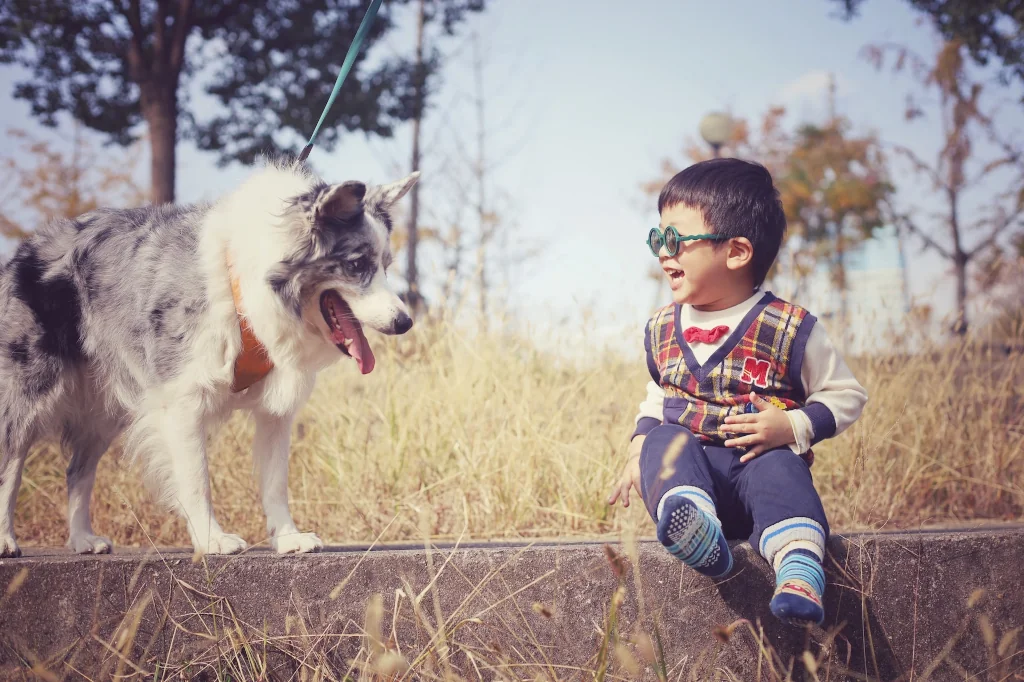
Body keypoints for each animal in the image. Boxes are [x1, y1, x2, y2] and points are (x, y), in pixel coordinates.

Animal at [0, 160, 417, 557]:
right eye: (357, 265)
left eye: (386, 265)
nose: (406, 322)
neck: (249, 289)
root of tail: (26, 247)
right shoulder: (181, 401)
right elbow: (197, 479)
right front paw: (212, 539)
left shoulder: (275, 412)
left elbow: (275, 482)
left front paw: (287, 538)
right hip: (29, 388)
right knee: (12, 463)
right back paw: (7, 540)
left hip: (105, 408)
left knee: (77, 470)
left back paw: (83, 539)